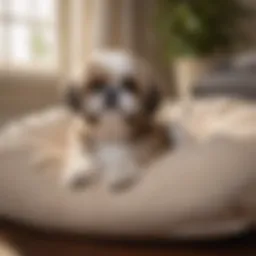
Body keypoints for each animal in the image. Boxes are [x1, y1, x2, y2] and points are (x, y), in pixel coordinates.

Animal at [61, 50, 170, 190]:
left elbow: (129, 151)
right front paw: (80, 170)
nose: (111, 92)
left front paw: (120, 172)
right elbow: (79, 150)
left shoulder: (153, 136)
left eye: (129, 85)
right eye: (96, 85)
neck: (111, 129)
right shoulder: (79, 133)